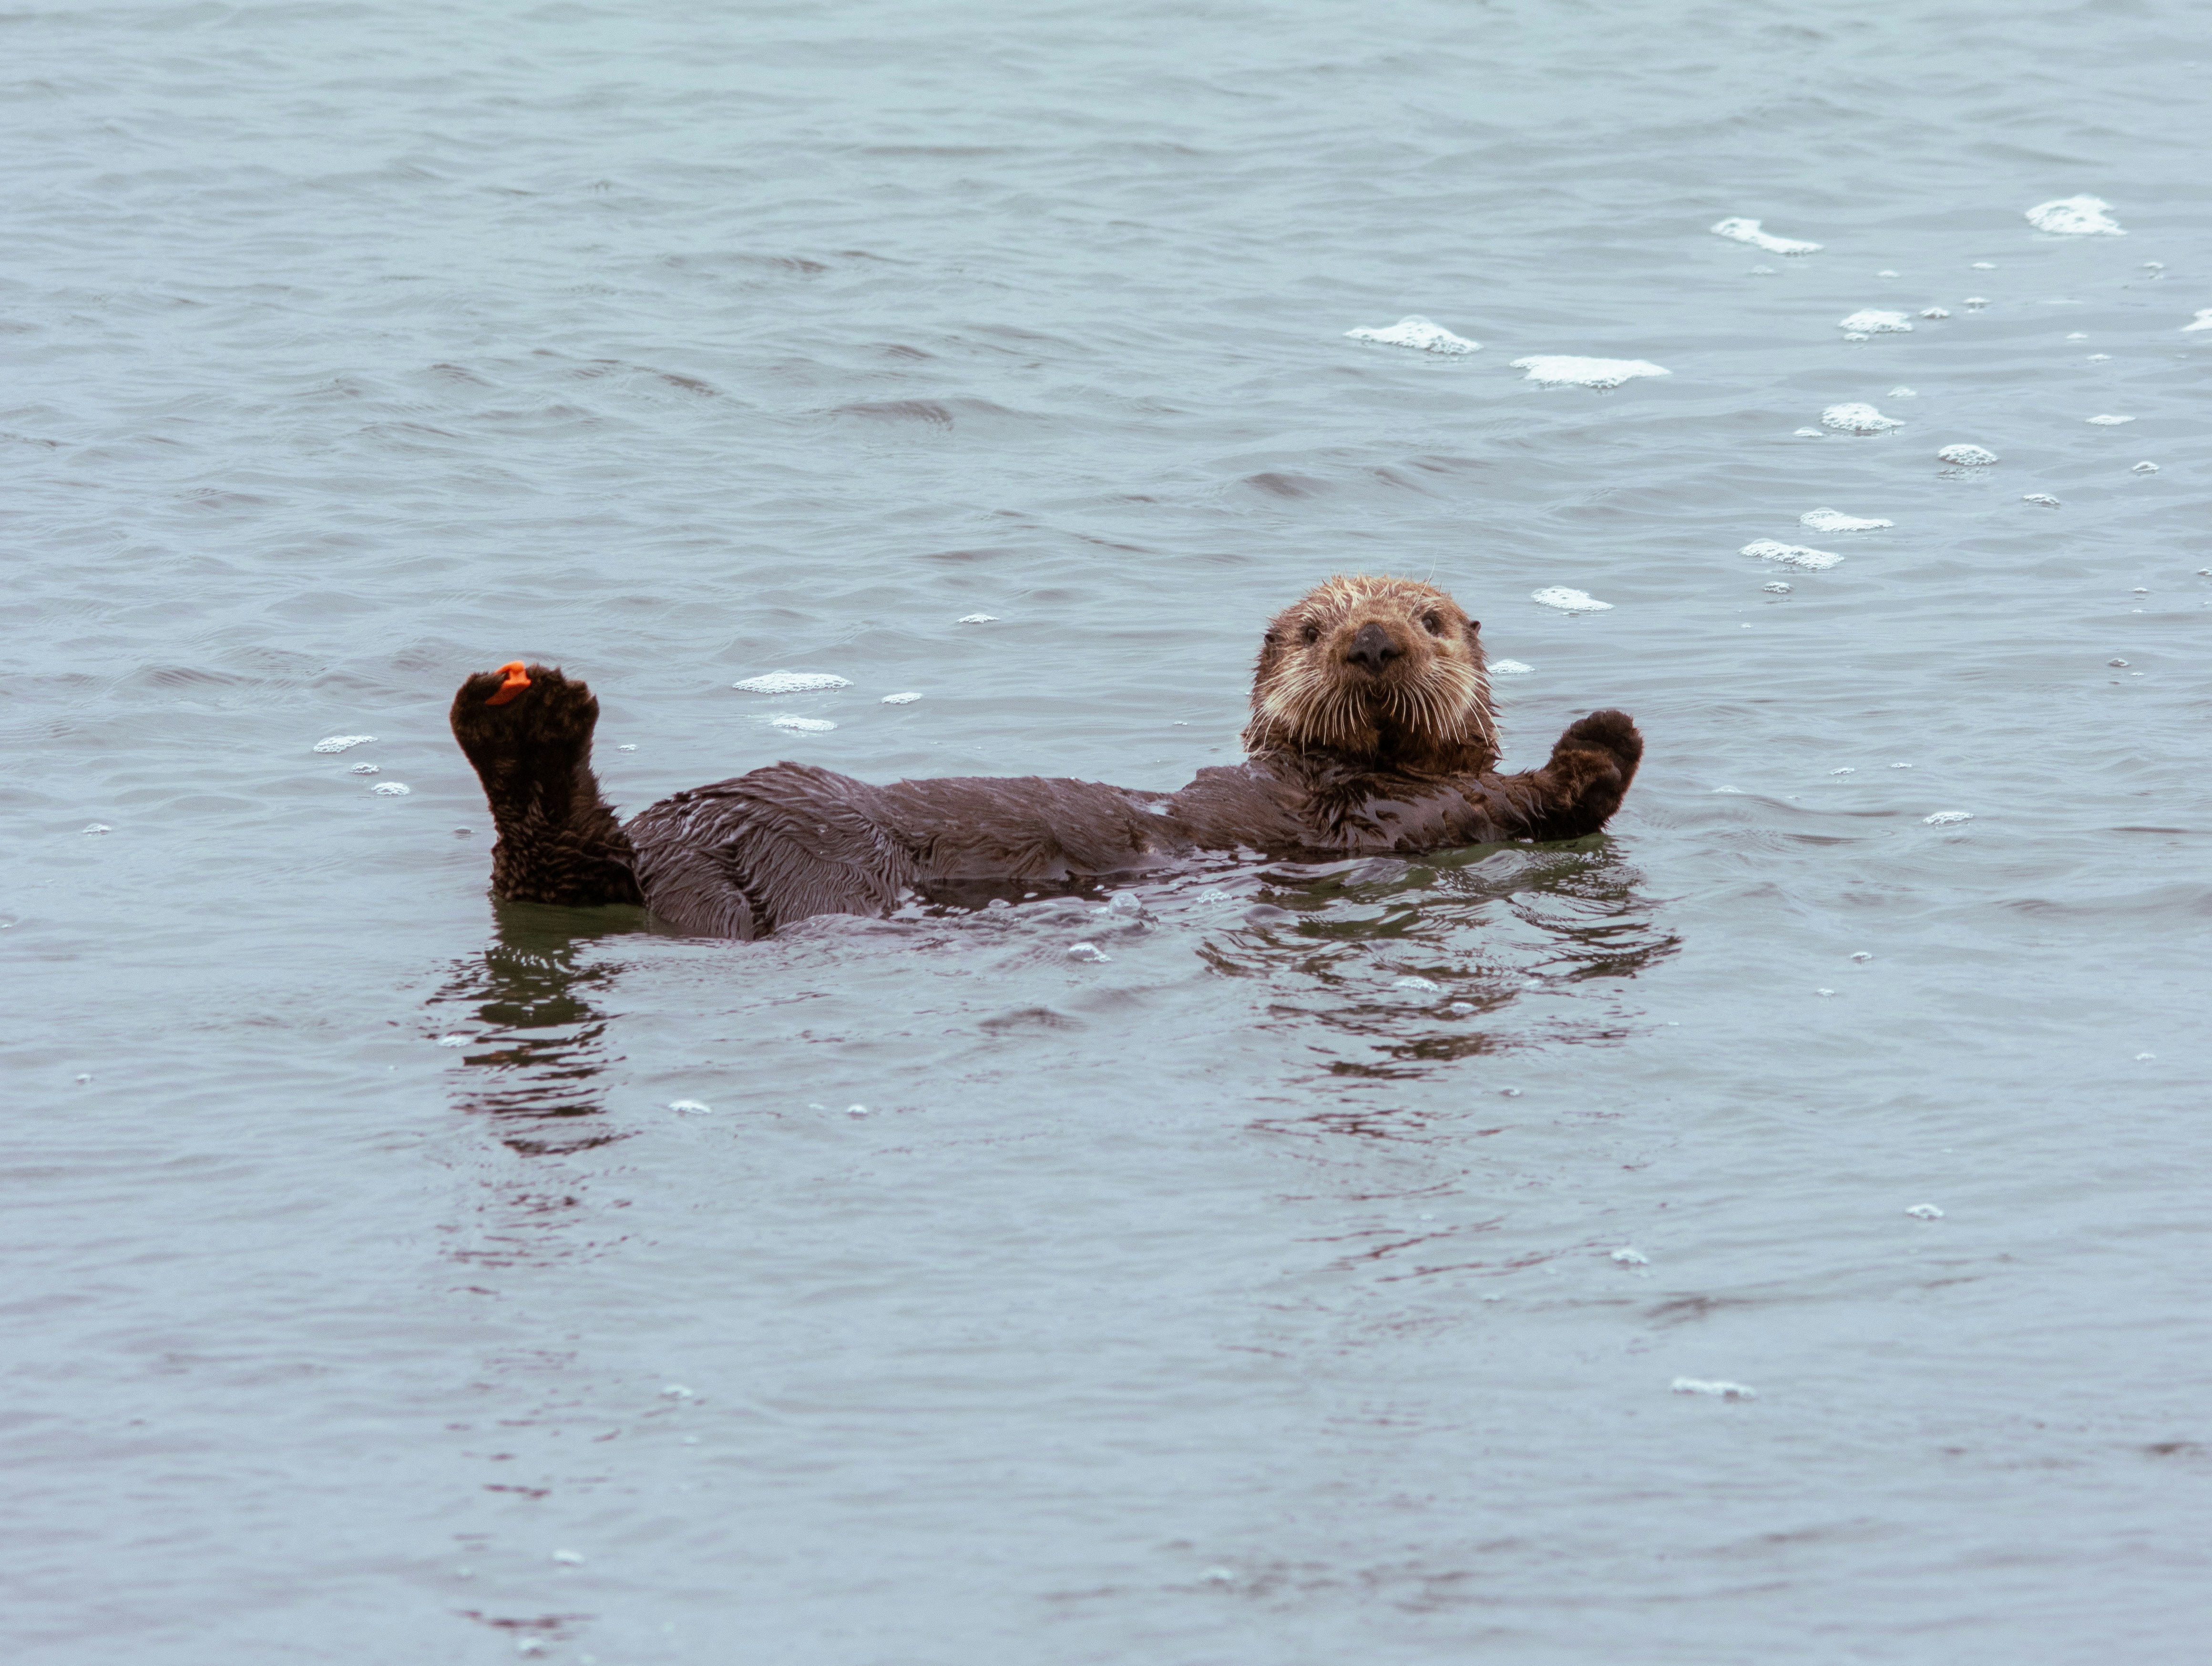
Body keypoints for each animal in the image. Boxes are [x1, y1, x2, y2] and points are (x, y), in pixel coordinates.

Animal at [449, 575, 1641, 939]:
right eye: (1314, 630)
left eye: (1429, 619)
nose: (1375, 640)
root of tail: (686, 835)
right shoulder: (1386, 817)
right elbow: (1520, 798)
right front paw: (1607, 736)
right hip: (812, 851)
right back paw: (529, 717)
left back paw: (521, 724)